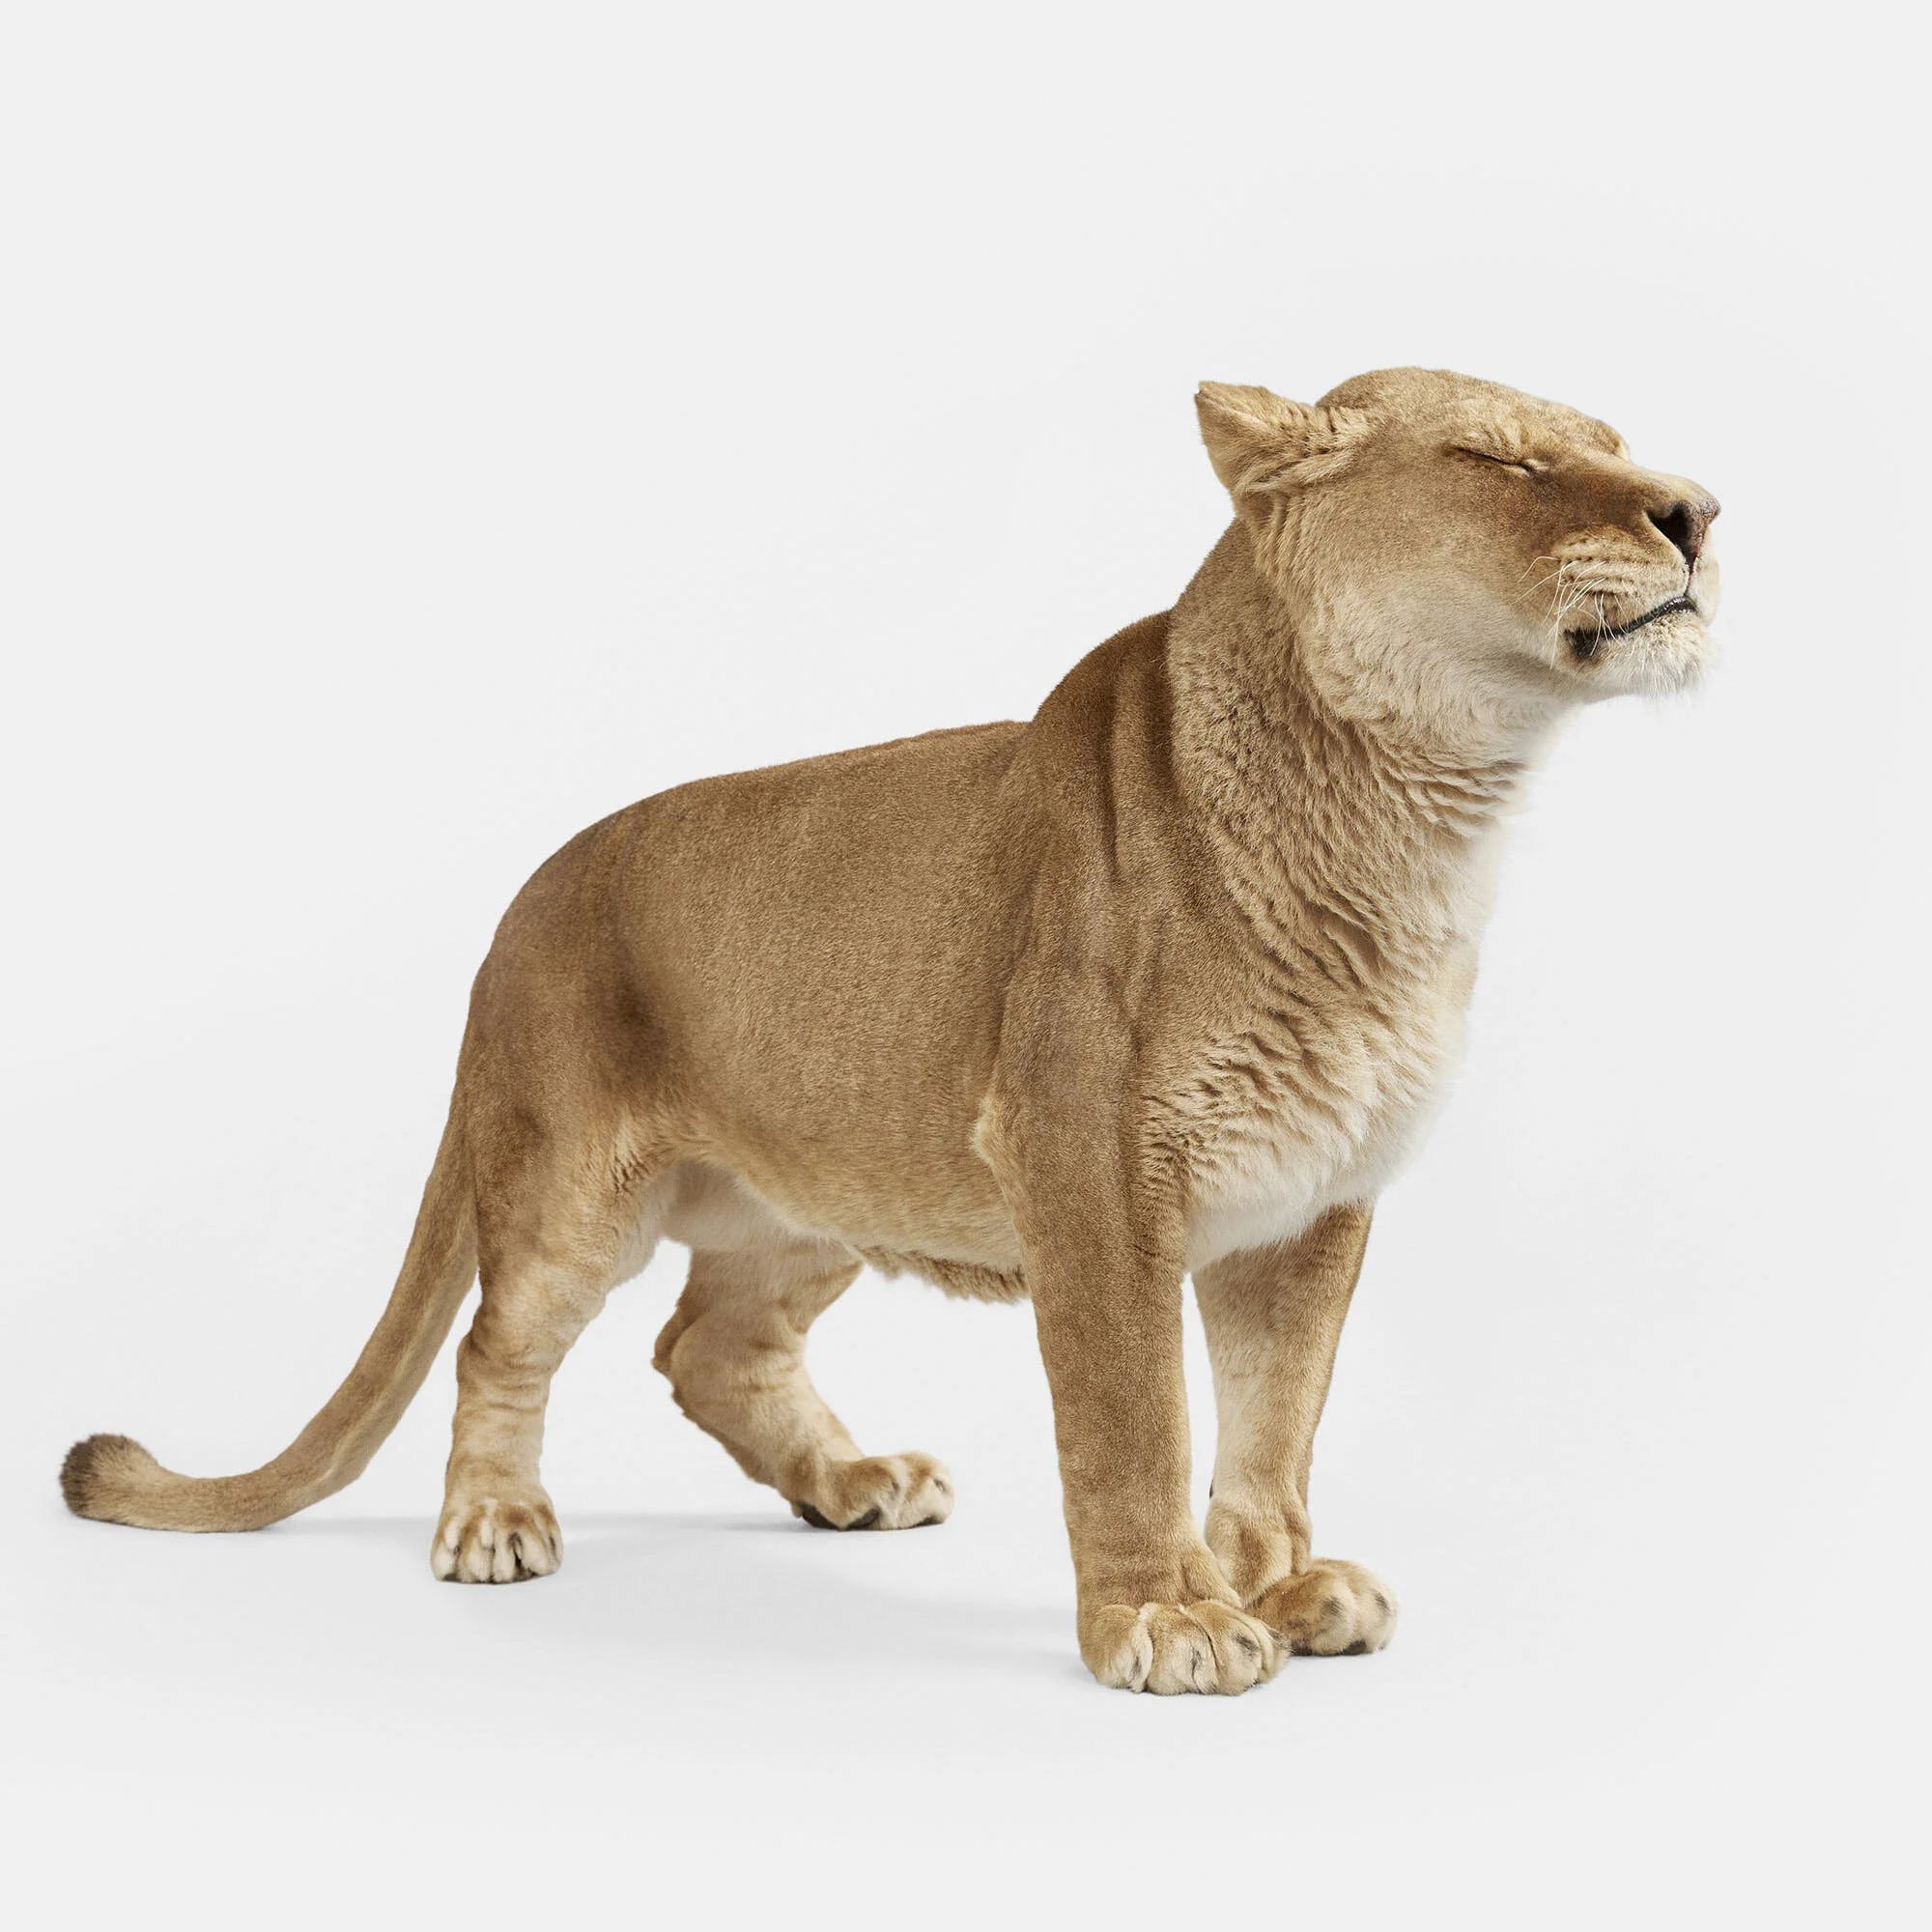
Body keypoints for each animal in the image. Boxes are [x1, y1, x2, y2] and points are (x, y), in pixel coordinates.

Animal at [61, 367, 1719, 1694]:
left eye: (1616, 446)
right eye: (1505, 461)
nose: (1699, 510)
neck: (1418, 820)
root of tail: (522, 902)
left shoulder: (1314, 1202)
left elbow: (1272, 1424)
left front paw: (1284, 1588)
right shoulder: (1090, 1174)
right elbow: (1138, 1421)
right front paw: (1169, 1622)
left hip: (820, 1191)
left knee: (706, 1346)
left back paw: (851, 1482)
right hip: (566, 1186)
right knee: (499, 1344)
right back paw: (493, 1525)